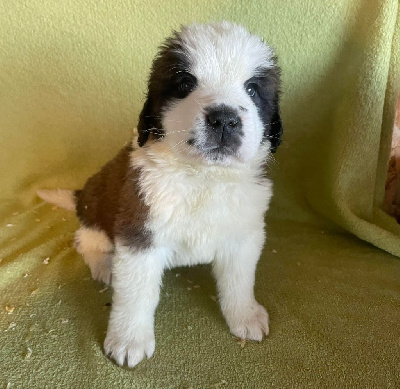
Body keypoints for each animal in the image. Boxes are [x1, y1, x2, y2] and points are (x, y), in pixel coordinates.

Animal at [36, 21, 282, 366]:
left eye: (252, 89)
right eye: (184, 83)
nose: (223, 119)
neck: (203, 177)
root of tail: (82, 195)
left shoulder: (244, 232)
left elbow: (239, 279)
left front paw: (245, 315)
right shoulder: (139, 232)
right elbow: (137, 292)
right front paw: (128, 339)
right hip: (97, 214)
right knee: (86, 240)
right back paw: (104, 266)